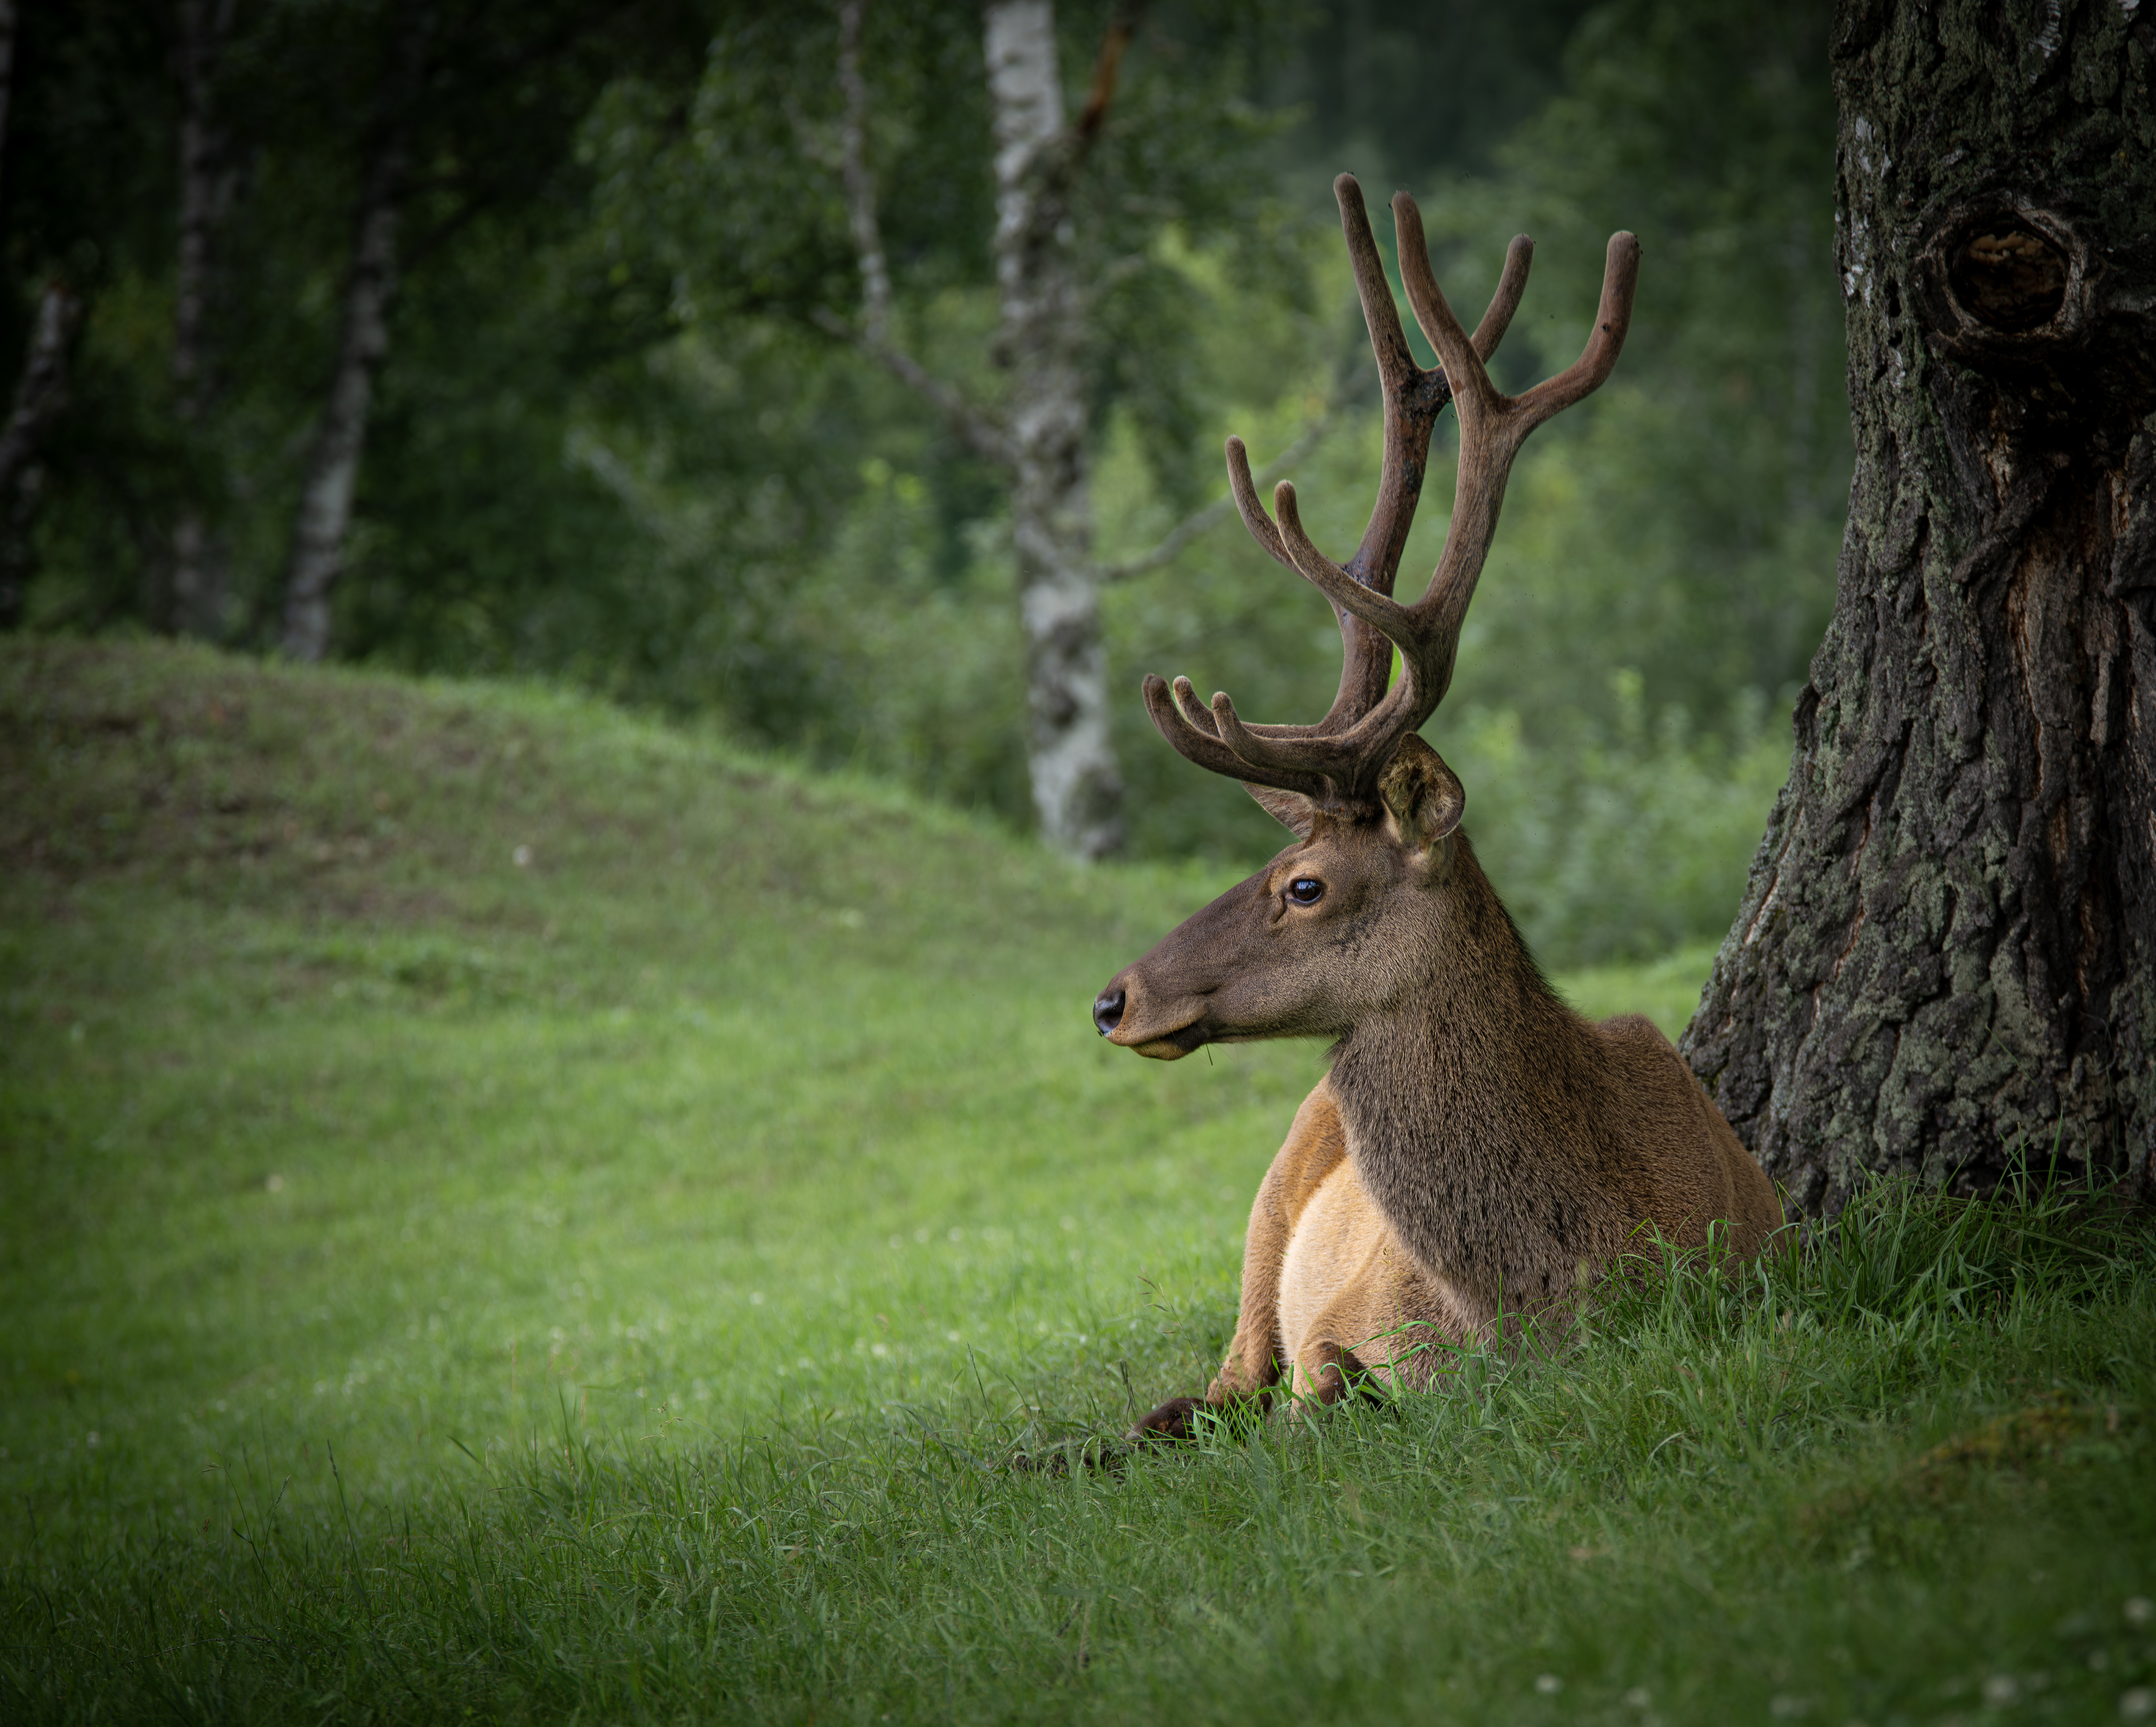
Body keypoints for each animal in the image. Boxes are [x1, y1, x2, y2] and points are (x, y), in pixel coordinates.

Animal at [1087, 179, 1777, 1440]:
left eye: (1304, 884)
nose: (1115, 999)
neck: (1543, 1290)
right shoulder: (1341, 1316)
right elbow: (1319, 1379)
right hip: (1268, 1206)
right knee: (1214, 1384)